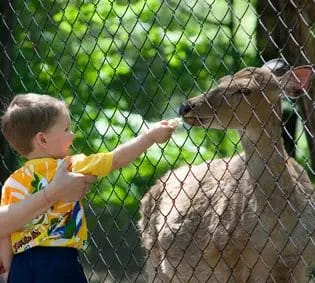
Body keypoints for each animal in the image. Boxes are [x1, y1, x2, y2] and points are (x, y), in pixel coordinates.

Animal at [140, 59, 315, 282]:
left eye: (245, 90)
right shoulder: (227, 257)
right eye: (221, 80)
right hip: (154, 263)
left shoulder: (301, 261)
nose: (186, 106)